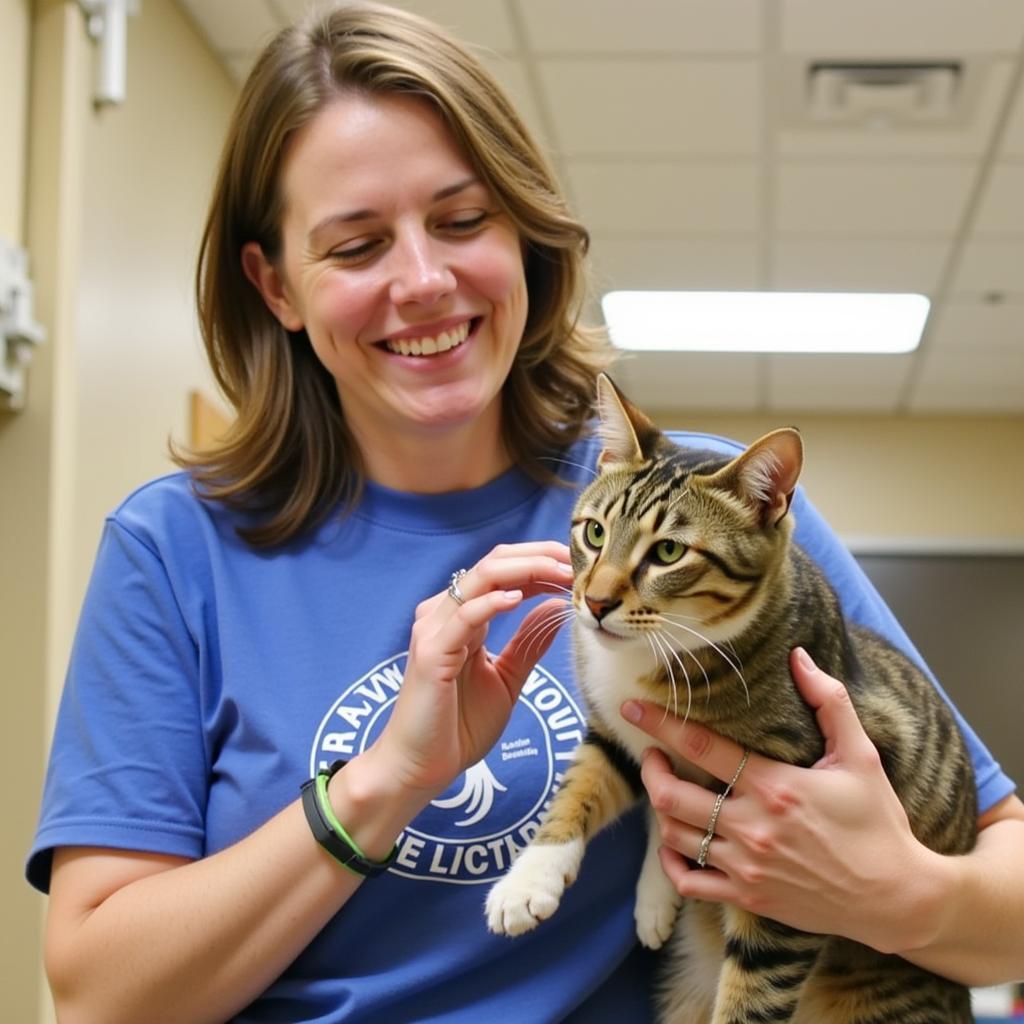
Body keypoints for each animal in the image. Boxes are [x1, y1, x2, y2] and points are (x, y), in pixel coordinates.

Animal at [483, 376, 978, 1024]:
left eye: (668, 553)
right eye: (593, 532)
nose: (595, 602)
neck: (658, 651)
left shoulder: (789, 864)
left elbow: (758, 981)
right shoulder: (618, 731)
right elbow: (584, 784)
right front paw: (531, 877)